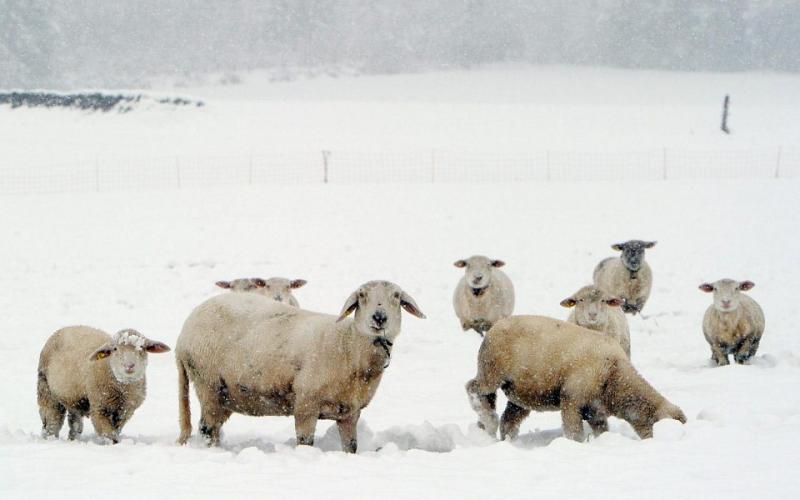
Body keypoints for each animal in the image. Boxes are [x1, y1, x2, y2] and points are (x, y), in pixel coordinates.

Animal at [36, 326, 171, 444]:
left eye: (142, 347)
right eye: (115, 349)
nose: (129, 366)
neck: (123, 389)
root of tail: (64, 328)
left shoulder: (126, 411)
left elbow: (116, 430)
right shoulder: (99, 408)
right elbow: (109, 434)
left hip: (73, 397)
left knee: (75, 422)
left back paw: (73, 440)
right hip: (46, 389)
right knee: (52, 420)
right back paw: (50, 438)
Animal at [175, 282, 424, 454]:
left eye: (396, 297)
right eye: (362, 296)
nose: (379, 317)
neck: (348, 344)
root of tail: (183, 334)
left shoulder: (350, 413)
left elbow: (351, 446)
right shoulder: (306, 405)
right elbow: (305, 443)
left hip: (226, 395)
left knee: (213, 428)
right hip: (208, 385)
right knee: (207, 429)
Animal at [466, 316, 684, 442]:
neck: (615, 374)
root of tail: (493, 328)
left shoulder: (595, 405)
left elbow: (601, 427)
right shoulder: (574, 394)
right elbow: (573, 429)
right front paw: (575, 443)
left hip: (522, 389)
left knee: (509, 419)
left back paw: (505, 437)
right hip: (494, 367)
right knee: (475, 388)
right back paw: (487, 418)